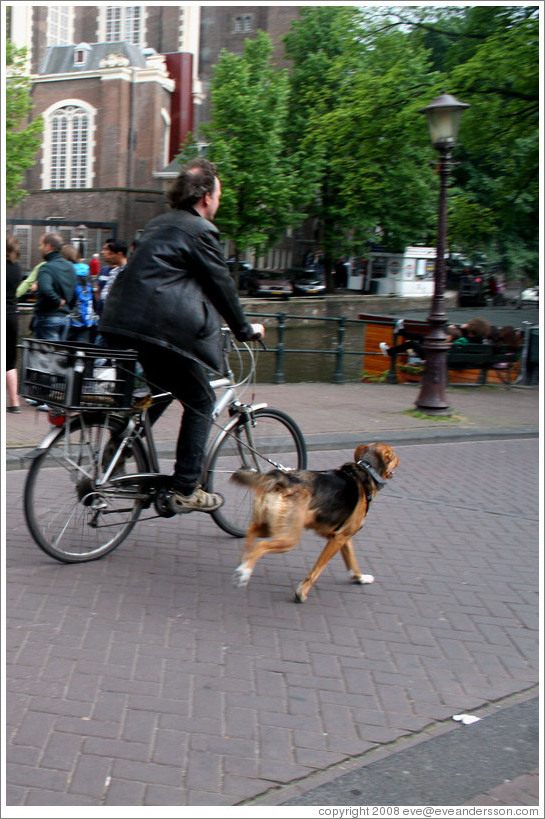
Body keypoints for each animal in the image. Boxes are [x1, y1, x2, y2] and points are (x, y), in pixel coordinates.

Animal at [232, 442, 398, 604]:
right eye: (394, 456)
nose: (399, 460)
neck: (366, 469)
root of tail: (286, 479)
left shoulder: (344, 537)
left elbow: (352, 562)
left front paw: (360, 578)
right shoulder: (338, 538)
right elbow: (318, 568)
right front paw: (301, 593)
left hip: (275, 528)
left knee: (251, 532)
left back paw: (242, 565)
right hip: (288, 538)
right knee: (261, 545)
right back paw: (245, 571)